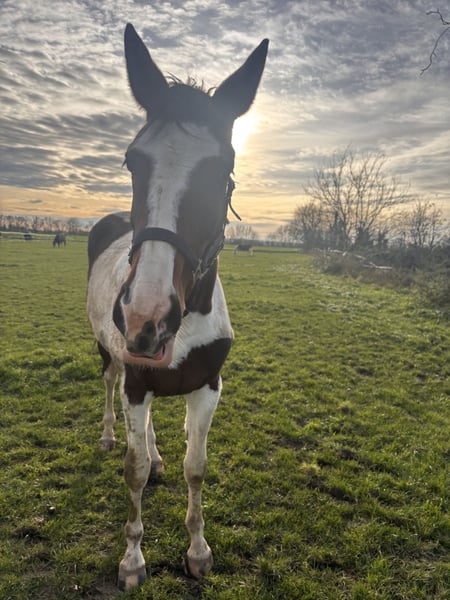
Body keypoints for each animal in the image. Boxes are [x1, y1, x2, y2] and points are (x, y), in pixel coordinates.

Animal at [86, 24, 268, 591]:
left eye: (223, 169)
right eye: (131, 161)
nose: (146, 318)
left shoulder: (207, 386)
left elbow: (195, 467)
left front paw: (198, 551)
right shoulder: (136, 381)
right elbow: (133, 470)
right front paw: (132, 560)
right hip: (110, 356)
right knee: (110, 389)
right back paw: (108, 435)